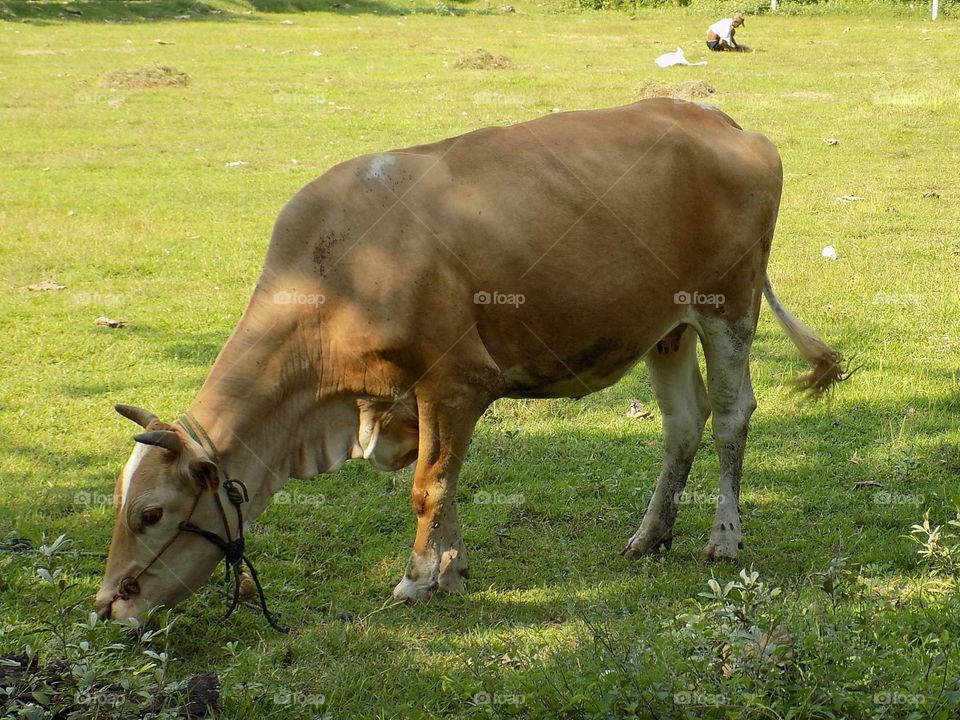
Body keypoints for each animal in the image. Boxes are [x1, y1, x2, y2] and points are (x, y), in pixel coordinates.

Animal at [95, 99, 846, 622]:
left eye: (152, 514)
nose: (107, 605)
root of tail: (715, 117)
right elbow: (446, 483)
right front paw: (450, 571)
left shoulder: (455, 380)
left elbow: (429, 486)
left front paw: (416, 578)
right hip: (668, 326)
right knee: (683, 424)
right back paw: (649, 536)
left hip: (729, 307)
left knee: (731, 416)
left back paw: (723, 537)